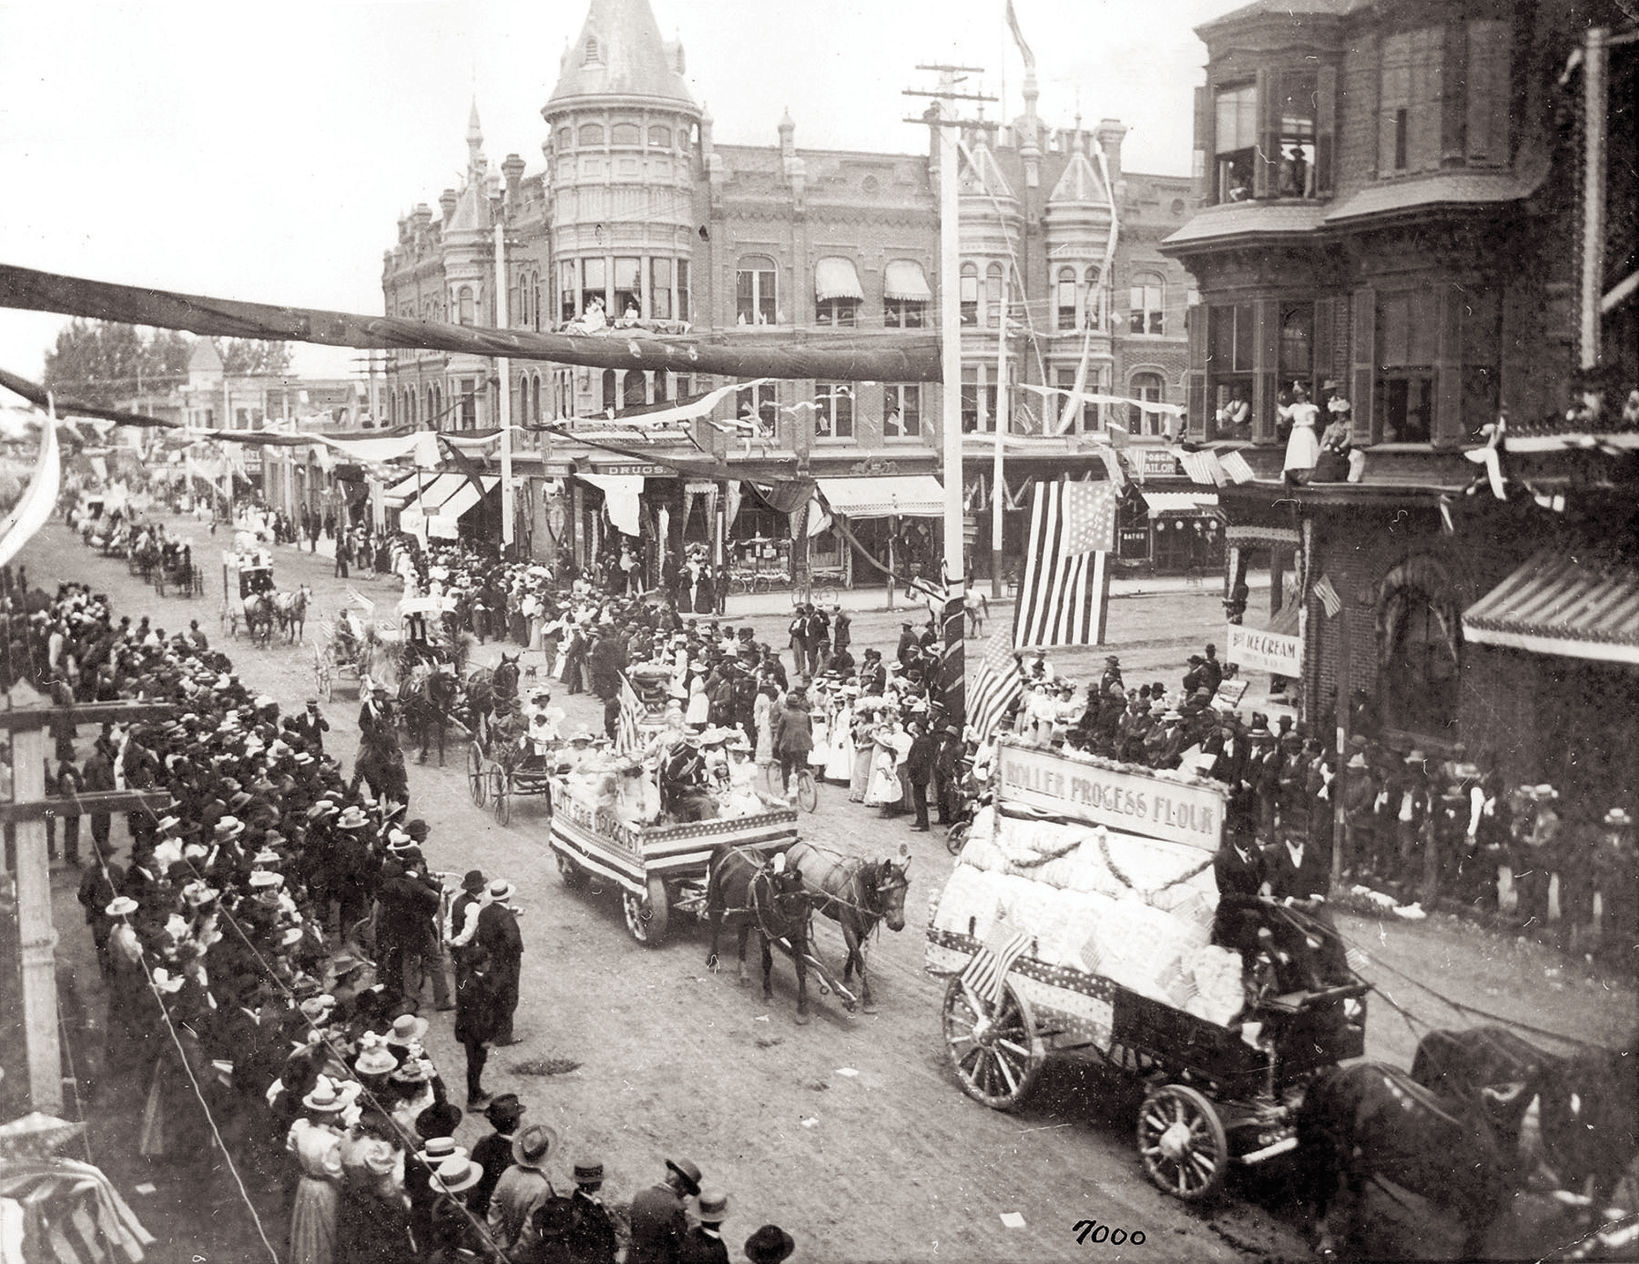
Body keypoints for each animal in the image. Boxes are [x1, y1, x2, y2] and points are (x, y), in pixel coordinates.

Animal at [704, 845, 812, 1023]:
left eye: (807, 901)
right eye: (787, 901)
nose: (799, 930)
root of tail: (726, 847)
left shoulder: (796, 937)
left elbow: (800, 967)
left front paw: (802, 1008)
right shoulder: (765, 933)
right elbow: (767, 961)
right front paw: (768, 993)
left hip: (743, 913)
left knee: (742, 938)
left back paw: (743, 974)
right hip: (716, 899)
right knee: (715, 927)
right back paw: (712, 958)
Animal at [780, 839, 911, 1016]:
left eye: (905, 889)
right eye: (887, 890)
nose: (898, 923)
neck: (860, 887)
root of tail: (799, 844)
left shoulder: (863, 927)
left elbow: (854, 951)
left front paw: (847, 976)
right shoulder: (847, 925)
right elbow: (859, 958)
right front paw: (868, 998)